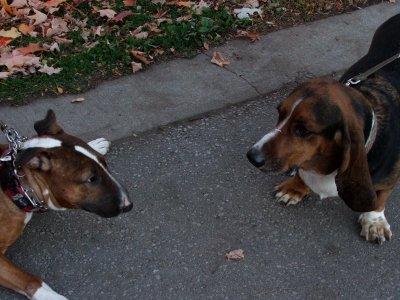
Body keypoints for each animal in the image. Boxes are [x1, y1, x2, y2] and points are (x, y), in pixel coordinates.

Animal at [0, 110, 132, 300]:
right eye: (91, 179)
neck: (15, 185)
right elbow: (29, 280)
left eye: (104, 164)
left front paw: (96, 144)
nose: (129, 204)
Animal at [247, 13, 400, 244]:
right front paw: (295, 188)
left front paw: (374, 222)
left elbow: (380, 197)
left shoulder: (390, 177)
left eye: (303, 130)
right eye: (280, 113)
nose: (252, 157)